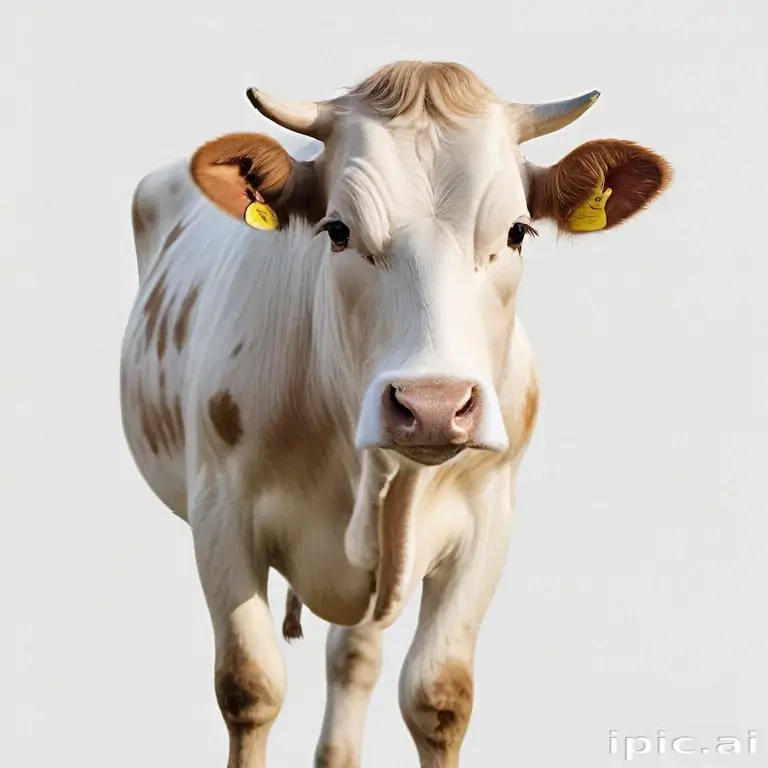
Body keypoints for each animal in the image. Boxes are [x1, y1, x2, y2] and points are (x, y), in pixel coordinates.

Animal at [120, 60, 672, 767]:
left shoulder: (488, 520)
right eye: (337, 230)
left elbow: (439, 694)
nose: (433, 406)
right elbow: (249, 685)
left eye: (517, 232)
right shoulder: (220, 512)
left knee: (355, 657)